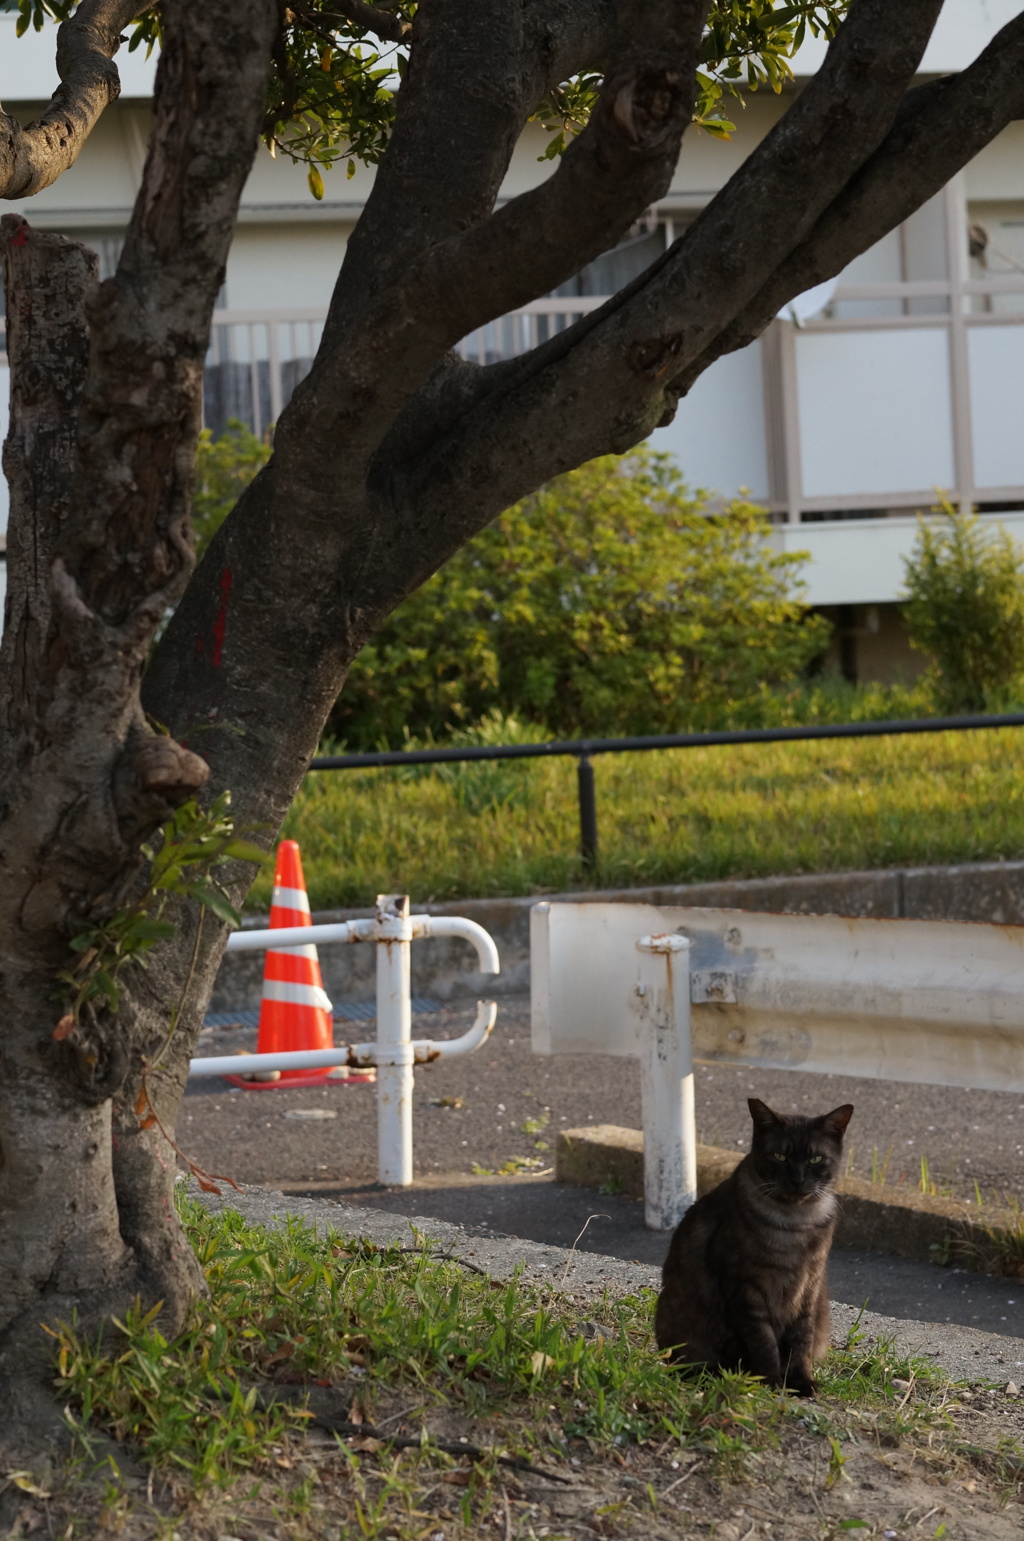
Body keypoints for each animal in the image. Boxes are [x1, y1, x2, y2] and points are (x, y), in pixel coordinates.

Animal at [655, 1097, 856, 1399]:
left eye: (816, 1159)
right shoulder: (747, 1291)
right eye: (780, 1157)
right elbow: (765, 1344)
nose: (797, 1179)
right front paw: (772, 1382)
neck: (795, 1223)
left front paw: (801, 1383)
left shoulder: (809, 1288)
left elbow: (801, 1343)